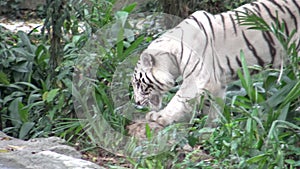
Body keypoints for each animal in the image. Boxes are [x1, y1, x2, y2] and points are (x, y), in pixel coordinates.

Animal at [131, 0, 300, 127]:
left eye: (138, 83)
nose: (137, 102)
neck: (173, 58)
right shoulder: (217, 82)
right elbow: (212, 107)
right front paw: (210, 130)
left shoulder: (197, 78)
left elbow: (179, 99)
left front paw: (160, 117)